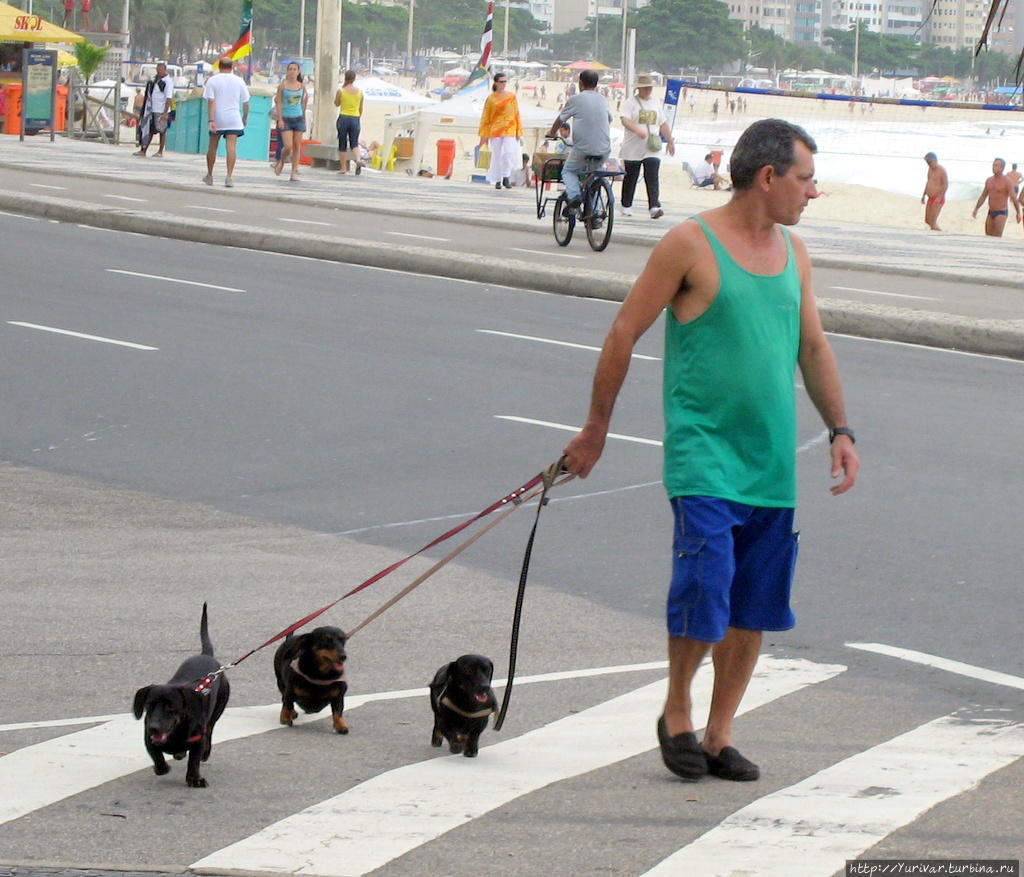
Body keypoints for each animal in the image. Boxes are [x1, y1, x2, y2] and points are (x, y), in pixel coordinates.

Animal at [132, 602, 230, 786]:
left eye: (171, 706)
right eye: (149, 705)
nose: (154, 727)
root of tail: (206, 655)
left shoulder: (197, 739)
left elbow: (194, 760)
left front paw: (194, 779)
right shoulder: (149, 738)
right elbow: (156, 754)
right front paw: (161, 768)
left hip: (218, 707)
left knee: (210, 729)